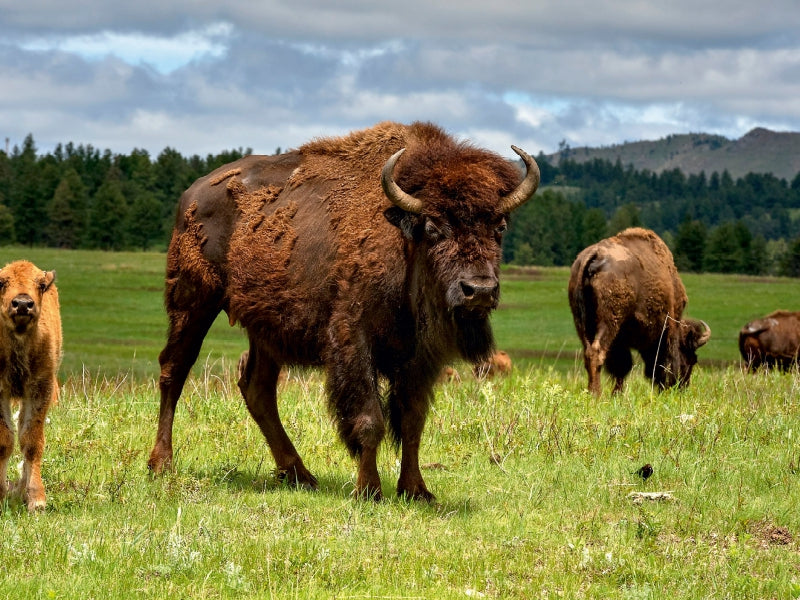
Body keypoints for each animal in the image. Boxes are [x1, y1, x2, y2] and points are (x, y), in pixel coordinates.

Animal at [147, 121, 540, 500]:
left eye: (499, 226)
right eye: (433, 226)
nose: (479, 290)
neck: (403, 240)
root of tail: (192, 194)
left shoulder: (420, 356)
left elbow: (412, 420)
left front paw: (417, 490)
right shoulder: (353, 339)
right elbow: (370, 419)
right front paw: (369, 490)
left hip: (265, 327)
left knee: (257, 388)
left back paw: (300, 475)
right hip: (193, 300)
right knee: (174, 369)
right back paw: (161, 464)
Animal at [568, 228, 710, 396]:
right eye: (691, 359)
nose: (682, 387)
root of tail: (596, 255)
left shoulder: (621, 341)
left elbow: (622, 367)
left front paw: (617, 395)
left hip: (581, 322)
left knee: (589, 352)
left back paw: (591, 392)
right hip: (608, 322)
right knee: (597, 352)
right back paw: (596, 394)